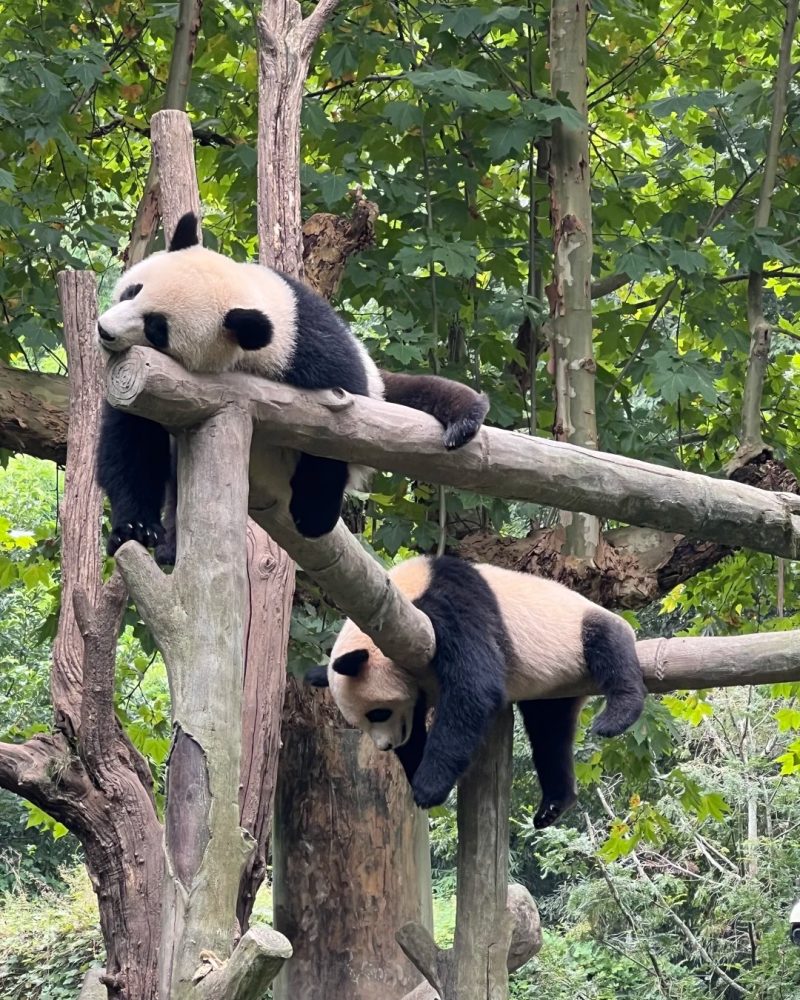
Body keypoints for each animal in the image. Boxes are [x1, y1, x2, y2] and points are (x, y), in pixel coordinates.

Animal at [95, 213, 488, 558]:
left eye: (156, 327)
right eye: (132, 291)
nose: (104, 331)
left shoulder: (318, 354)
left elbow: (341, 433)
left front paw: (313, 511)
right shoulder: (150, 385)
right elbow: (133, 442)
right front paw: (135, 529)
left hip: (380, 387)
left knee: (414, 394)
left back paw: (465, 416)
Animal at [306, 554, 646, 827]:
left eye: (378, 713)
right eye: (361, 722)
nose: (386, 746)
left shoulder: (453, 604)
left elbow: (474, 686)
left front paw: (428, 788)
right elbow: (417, 726)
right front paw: (416, 770)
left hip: (576, 630)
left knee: (610, 646)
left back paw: (615, 717)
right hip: (553, 688)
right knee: (549, 730)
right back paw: (554, 804)